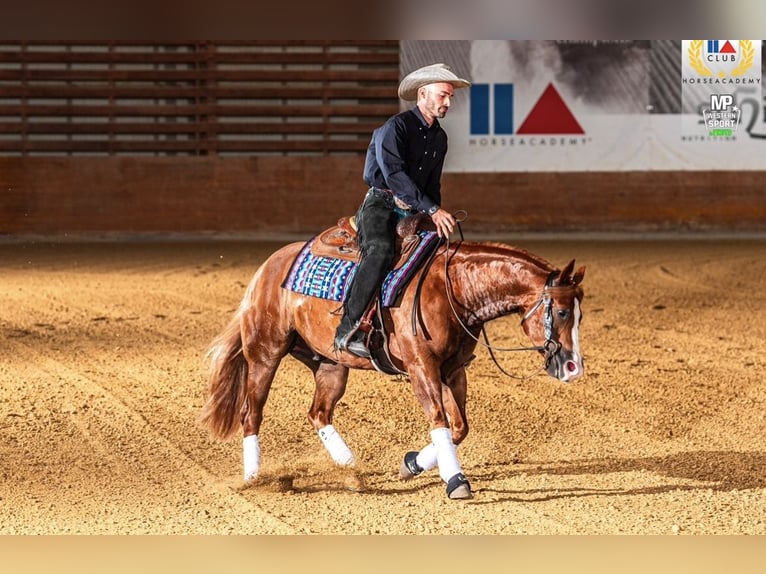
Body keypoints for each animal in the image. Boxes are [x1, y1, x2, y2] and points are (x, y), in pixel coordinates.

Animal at [199, 225, 585, 500]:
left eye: (580, 314)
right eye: (562, 312)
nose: (574, 367)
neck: (451, 288)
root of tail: (266, 269)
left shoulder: (453, 370)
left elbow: (459, 427)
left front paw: (412, 464)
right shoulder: (421, 367)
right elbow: (439, 420)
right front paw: (455, 480)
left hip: (330, 364)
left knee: (319, 413)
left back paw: (350, 468)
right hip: (265, 353)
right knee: (251, 413)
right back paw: (253, 477)